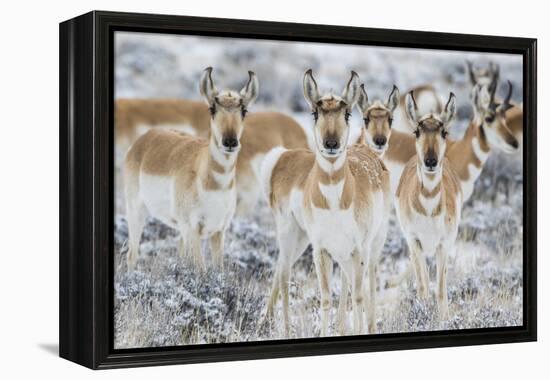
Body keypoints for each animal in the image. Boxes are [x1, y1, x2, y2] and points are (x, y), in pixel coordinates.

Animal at [124, 67, 260, 270]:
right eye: (212, 108)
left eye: (244, 110)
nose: (230, 142)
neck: (214, 185)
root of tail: (145, 139)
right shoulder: (193, 230)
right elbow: (200, 269)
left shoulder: (218, 232)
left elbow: (218, 269)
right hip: (136, 212)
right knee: (132, 255)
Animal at [262, 70, 392, 336]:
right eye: (315, 112)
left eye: (347, 113)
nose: (331, 144)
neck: (334, 202)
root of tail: (283, 156)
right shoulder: (321, 249)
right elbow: (325, 298)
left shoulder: (356, 250)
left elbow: (357, 296)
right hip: (292, 235)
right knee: (284, 272)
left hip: (369, 244)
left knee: (367, 282)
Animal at [398, 90, 464, 320]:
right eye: (417, 131)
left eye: (444, 131)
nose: (430, 161)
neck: (427, 209)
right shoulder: (415, 240)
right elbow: (423, 286)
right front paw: (423, 312)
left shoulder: (444, 244)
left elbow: (441, 289)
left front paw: (443, 318)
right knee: (423, 279)